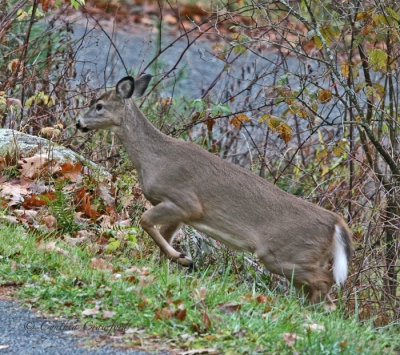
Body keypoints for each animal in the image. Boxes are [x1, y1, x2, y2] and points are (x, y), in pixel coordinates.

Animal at [76, 76, 352, 306]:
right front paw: (172, 262)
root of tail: (336, 222)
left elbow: (145, 221)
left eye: (99, 105)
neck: (153, 159)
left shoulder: (186, 201)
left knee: (325, 282)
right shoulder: (180, 213)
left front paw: (184, 259)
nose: (78, 122)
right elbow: (162, 237)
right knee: (321, 292)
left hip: (284, 253)